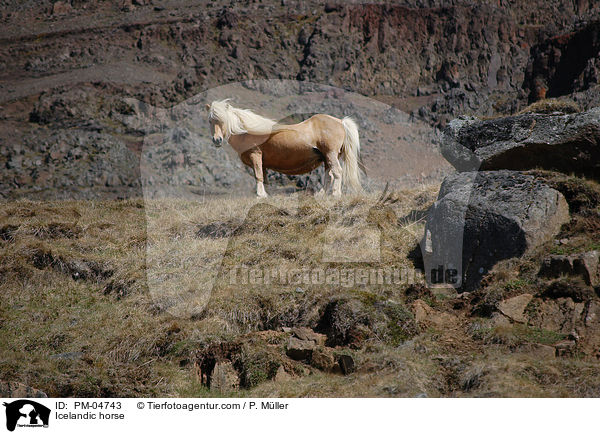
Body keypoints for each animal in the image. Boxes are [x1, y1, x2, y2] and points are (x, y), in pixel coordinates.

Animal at [206, 100, 364, 197]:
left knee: (337, 172)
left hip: (330, 154)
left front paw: (260, 196)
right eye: (210, 120)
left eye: (223, 120)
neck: (246, 131)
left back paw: (335, 194)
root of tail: (341, 122)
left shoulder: (255, 156)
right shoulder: (263, 162)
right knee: (329, 175)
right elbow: (264, 179)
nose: (217, 140)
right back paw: (321, 195)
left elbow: (258, 176)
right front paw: (267, 195)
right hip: (326, 158)